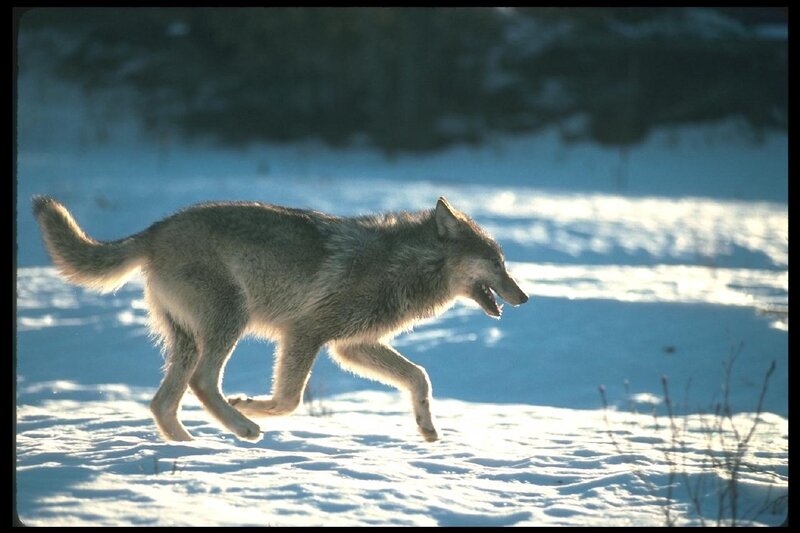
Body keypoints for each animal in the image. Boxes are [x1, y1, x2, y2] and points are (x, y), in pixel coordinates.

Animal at [32, 195, 528, 443]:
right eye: (497, 263)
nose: (523, 297)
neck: (403, 264)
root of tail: (155, 230)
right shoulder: (306, 334)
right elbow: (289, 400)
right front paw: (253, 405)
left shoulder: (351, 347)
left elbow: (419, 377)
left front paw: (427, 428)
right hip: (228, 322)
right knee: (202, 383)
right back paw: (243, 426)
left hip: (189, 339)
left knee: (162, 402)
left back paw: (191, 447)